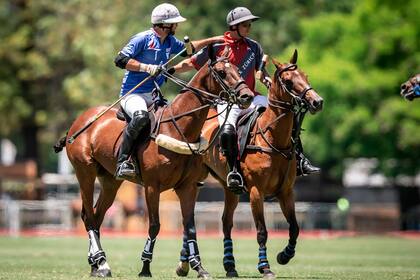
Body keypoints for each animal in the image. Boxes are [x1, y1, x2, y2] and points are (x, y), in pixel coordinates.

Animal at [55, 48, 253, 278]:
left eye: (238, 69)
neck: (178, 127)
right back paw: (102, 263)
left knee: (96, 215)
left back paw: (96, 264)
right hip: (84, 172)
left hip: (110, 180)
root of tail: (78, 122)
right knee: (88, 216)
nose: (247, 96)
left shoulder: (187, 187)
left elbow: (190, 227)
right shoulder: (152, 186)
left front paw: (199, 267)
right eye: (221, 72)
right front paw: (145, 267)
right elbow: (155, 225)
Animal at [193, 49, 322, 278]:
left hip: (229, 188)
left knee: (226, 222)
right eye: (288, 81)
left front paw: (284, 256)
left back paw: (230, 265)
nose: (317, 101)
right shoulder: (255, 191)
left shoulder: (286, 191)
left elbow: (295, 227)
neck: (272, 139)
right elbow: (262, 231)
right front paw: (265, 267)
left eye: (305, 75)